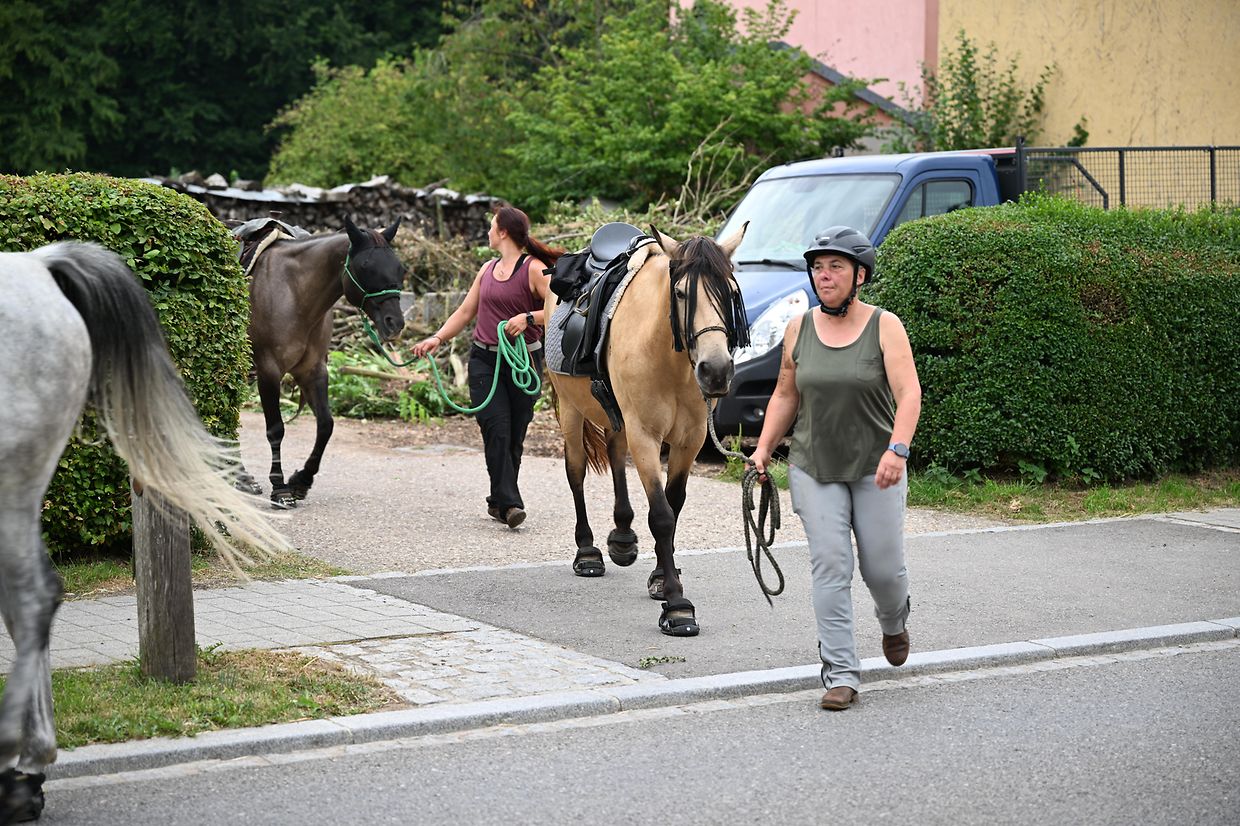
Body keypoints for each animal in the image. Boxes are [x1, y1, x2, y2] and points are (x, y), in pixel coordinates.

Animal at [244, 217, 405, 508]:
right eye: (365, 267)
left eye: (400, 268)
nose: (394, 323)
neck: (293, 291)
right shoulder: (268, 371)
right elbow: (275, 429)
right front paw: (280, 487)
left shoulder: (313, 370)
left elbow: (326, 425)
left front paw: (301, 480)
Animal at [544, 224, 749, 637]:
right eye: (682, 293)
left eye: (731, 292)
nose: (716, 371)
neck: (668, 359)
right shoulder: (645, 437)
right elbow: (661, 516)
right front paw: (677, 606)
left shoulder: (689, 441)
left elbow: (674, 504)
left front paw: (660, 578)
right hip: (573, 410)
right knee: (576, 472)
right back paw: (587, 552)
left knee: (613, 453)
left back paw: (622, 538)